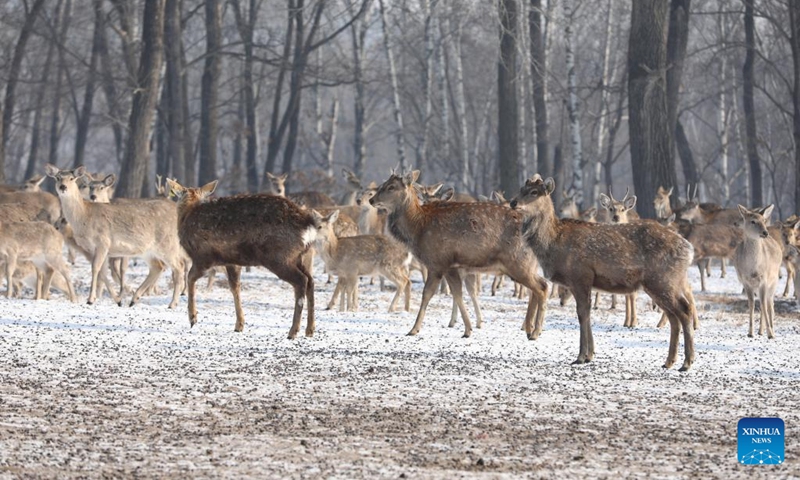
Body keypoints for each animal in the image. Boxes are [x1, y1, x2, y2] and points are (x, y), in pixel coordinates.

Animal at [45, 164, 185, 308]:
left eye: (72, 178)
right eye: (57, 178)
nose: (63, 187)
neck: (84, 217)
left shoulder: (102, 241)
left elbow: (95, 268)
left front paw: (90, 299)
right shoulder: (97, 249)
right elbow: (102, 272)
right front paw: (117, 300)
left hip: (168, 243)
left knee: (179, 267)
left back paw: (172, 303)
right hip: (147, 249)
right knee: (157, 267)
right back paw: (134, 299)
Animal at [167, 178, 317, 337]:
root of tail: (308, 224)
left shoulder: (203, 256)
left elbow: (190, 278)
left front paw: (193, 317)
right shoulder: (231, 261)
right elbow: (235, 287)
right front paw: (239, 324)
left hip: (279, 256)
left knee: (301, 280)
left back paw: (293, 331)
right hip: (297, 256)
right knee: (310, 280)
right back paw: (310, 329)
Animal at [370, 170, 547, 339]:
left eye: (391, 187)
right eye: (383, 184)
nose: (371, 200)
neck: (418, 228)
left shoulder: (438, 261)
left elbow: (427, 294)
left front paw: (413, 329)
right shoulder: (452, 266)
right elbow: (458, 293)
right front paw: (468, 329)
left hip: (518, 261)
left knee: (541, 287)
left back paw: (535, 332)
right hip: (525, 264)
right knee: (537, 287)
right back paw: (529, 329)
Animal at [510, 175, 696, 371]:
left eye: (534, 192)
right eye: (522, 188)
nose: (513, 202)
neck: (554, 242)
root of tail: (689, 249)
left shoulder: (580, 275)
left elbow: (582, 313)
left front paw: (581, 356)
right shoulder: (581, 281)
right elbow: (586, 313)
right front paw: (590, 354)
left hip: (663, 279)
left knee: (684, 311)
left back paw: (687, 362)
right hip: (662, 283)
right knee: (675, 315)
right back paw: (669, 361)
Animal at [734, 205, 783, 339]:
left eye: (764, 220)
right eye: (753, 221)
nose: (765, 232)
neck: (753, 270)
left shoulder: (764, 280)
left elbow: (763, 305)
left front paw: (770, 333)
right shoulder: (746, 282)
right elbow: (751, 304)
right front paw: (750, 332)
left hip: (774, 282)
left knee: (770, 304)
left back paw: (771, 330)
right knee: (764, 303)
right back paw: (760, 331)